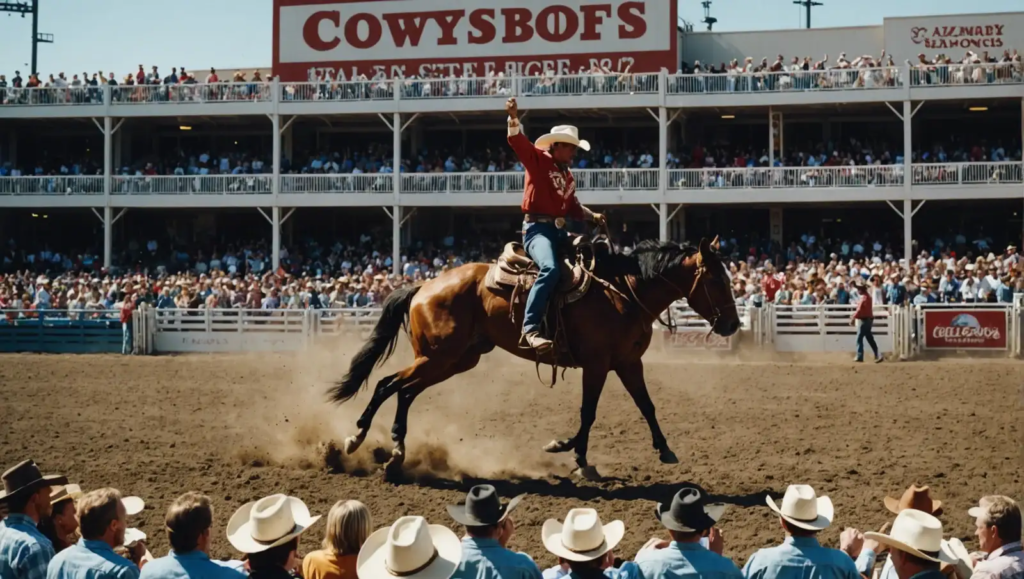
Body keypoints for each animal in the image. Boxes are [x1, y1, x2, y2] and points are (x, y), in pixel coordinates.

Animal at [331, 234, 741, 479]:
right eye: (716, 279)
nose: (733, 325)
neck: (623, 292)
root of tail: (425, 285)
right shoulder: (597, 364)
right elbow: (588, 412)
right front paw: (573, 454)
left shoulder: (628, 363)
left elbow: (647, 405)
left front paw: (664, 449)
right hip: (437, 357)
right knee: (387, 384)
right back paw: (355, 440)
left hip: (454, 360)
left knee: (404, 391)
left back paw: (396, 451)